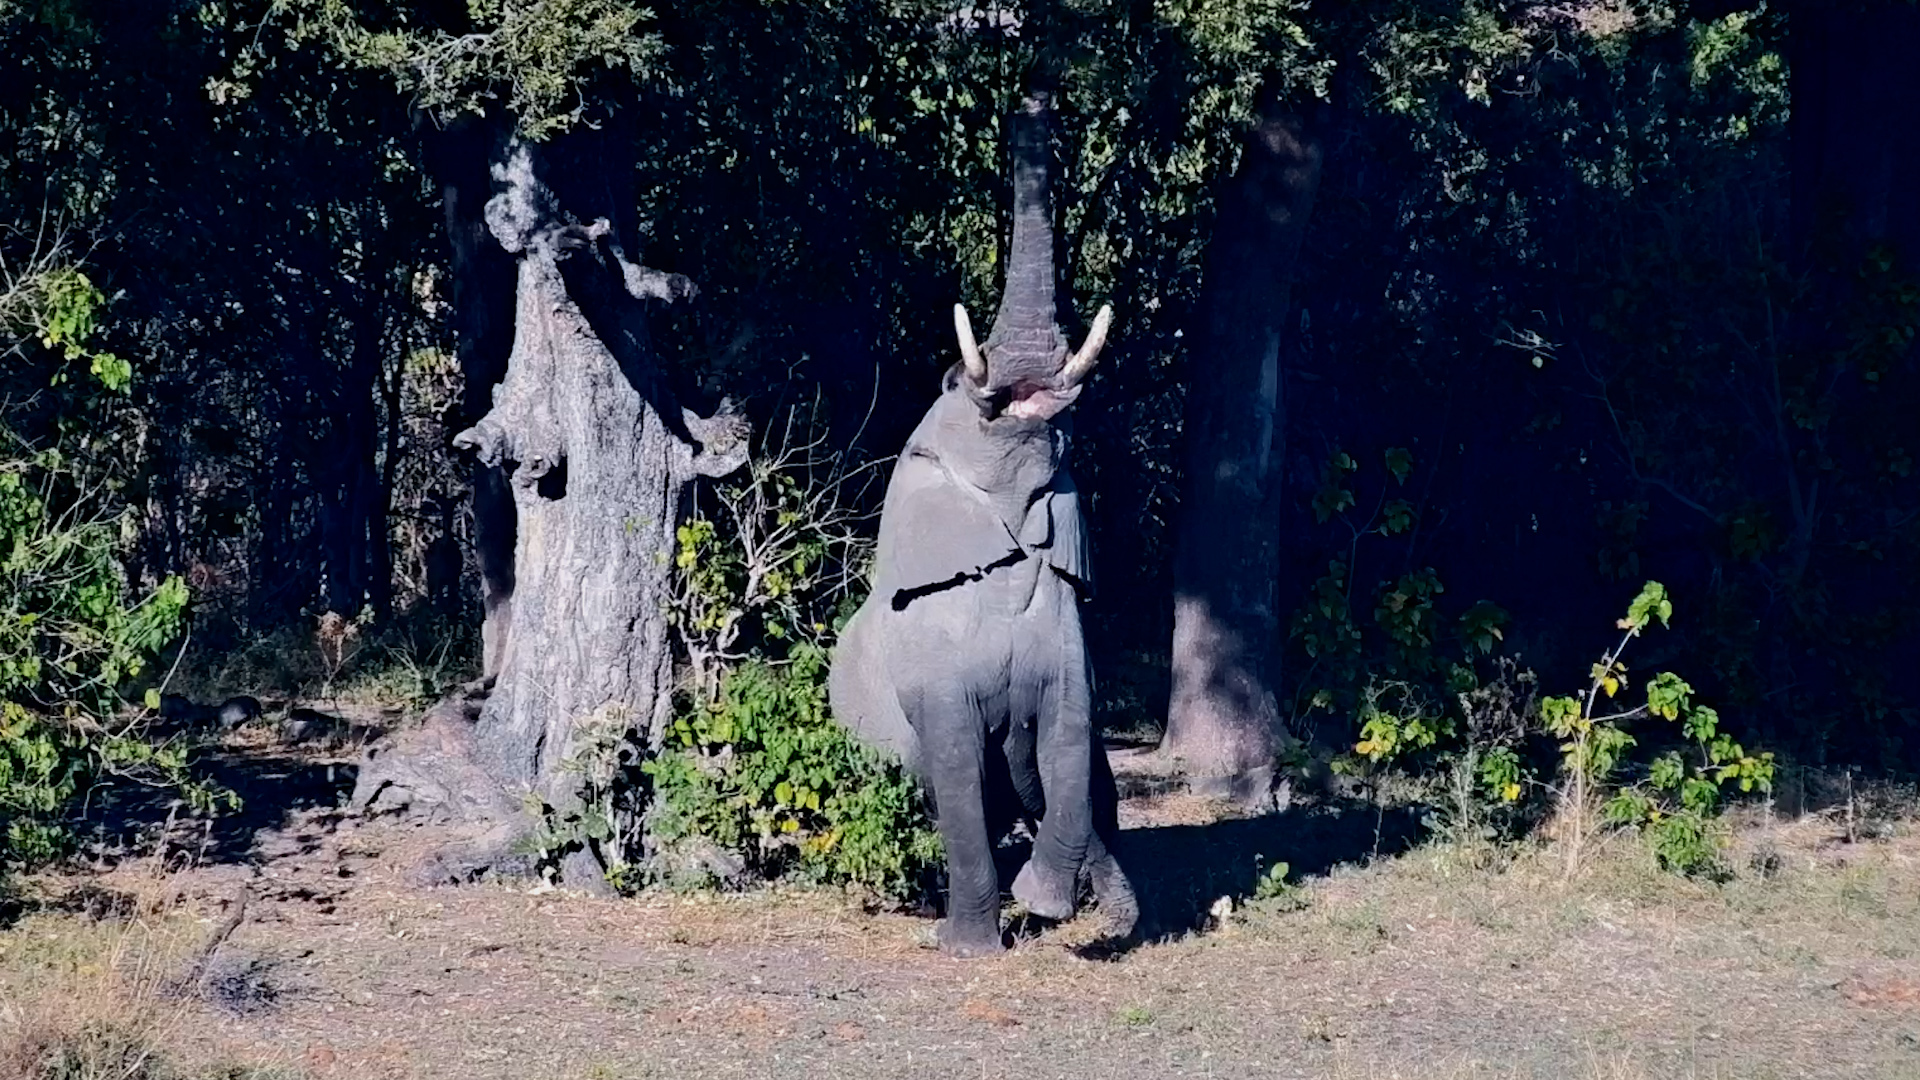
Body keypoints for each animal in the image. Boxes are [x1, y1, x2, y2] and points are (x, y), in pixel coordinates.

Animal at [830, 92, 1138, 956]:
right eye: (950, 382)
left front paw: (1045, 904)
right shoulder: (927, 661)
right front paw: (966, 944)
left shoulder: (1067, 631)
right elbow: (958, 765)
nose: (1033, 96)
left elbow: (1069, 737)